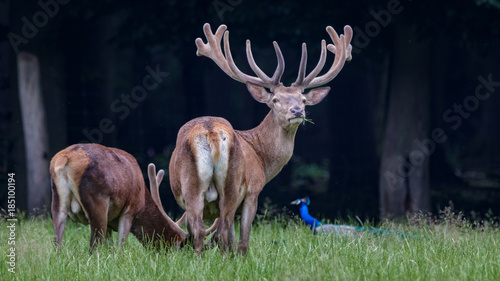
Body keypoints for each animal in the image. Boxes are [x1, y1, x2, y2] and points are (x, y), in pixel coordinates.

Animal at [50, 143, 188, 250]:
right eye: (180, 246)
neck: (143, 201)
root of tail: (65, 158)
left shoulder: (110, 222)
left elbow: (110, 246)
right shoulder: (130, 209)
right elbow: (121, 246)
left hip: (57, 200)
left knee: (57, 241)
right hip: (97, 200)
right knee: (94, 246)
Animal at [168, 23, 352, 254]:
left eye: (303, 99)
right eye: (275, 99)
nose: (297, 111)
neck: (261, 156)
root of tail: (210, 132)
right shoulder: (253, 190)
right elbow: (239, 239)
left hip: (192, 188)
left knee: (201, 230)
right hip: (232, 187)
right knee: (228, 234)